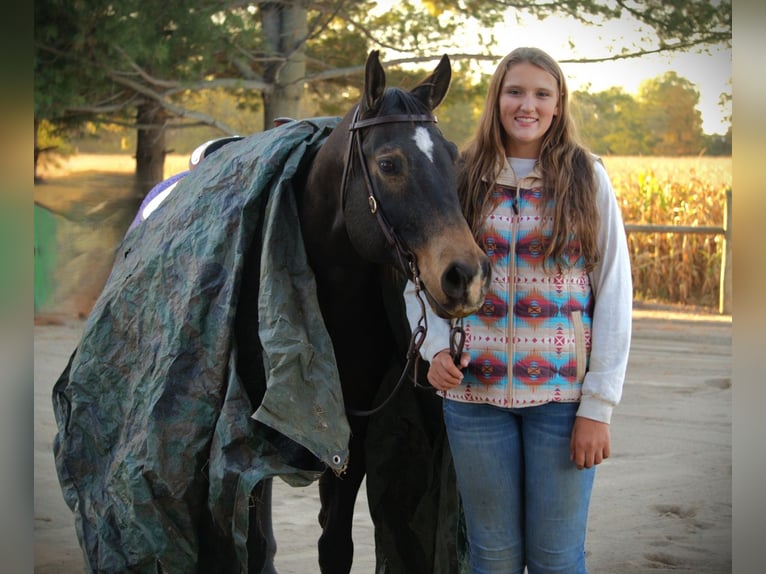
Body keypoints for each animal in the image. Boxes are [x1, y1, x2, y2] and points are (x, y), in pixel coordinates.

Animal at [51, 50, 490, 574]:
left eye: (453, 156)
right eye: (389, 163)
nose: (466, 274)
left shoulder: (346, 435)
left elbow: (335, 546)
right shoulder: (244, 443)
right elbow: (254, 538)